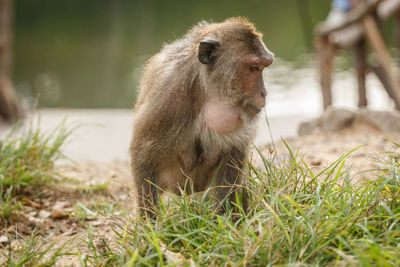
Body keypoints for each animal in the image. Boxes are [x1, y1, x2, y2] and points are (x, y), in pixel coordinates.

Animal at [130, 16, 274, 217]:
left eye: (263, 67)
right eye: (253, 68)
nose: (263, 93)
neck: (207, 91)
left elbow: (231, 158)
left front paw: (224, 219)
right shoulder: (168, 97)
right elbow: (144, 154)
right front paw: (151, 222)